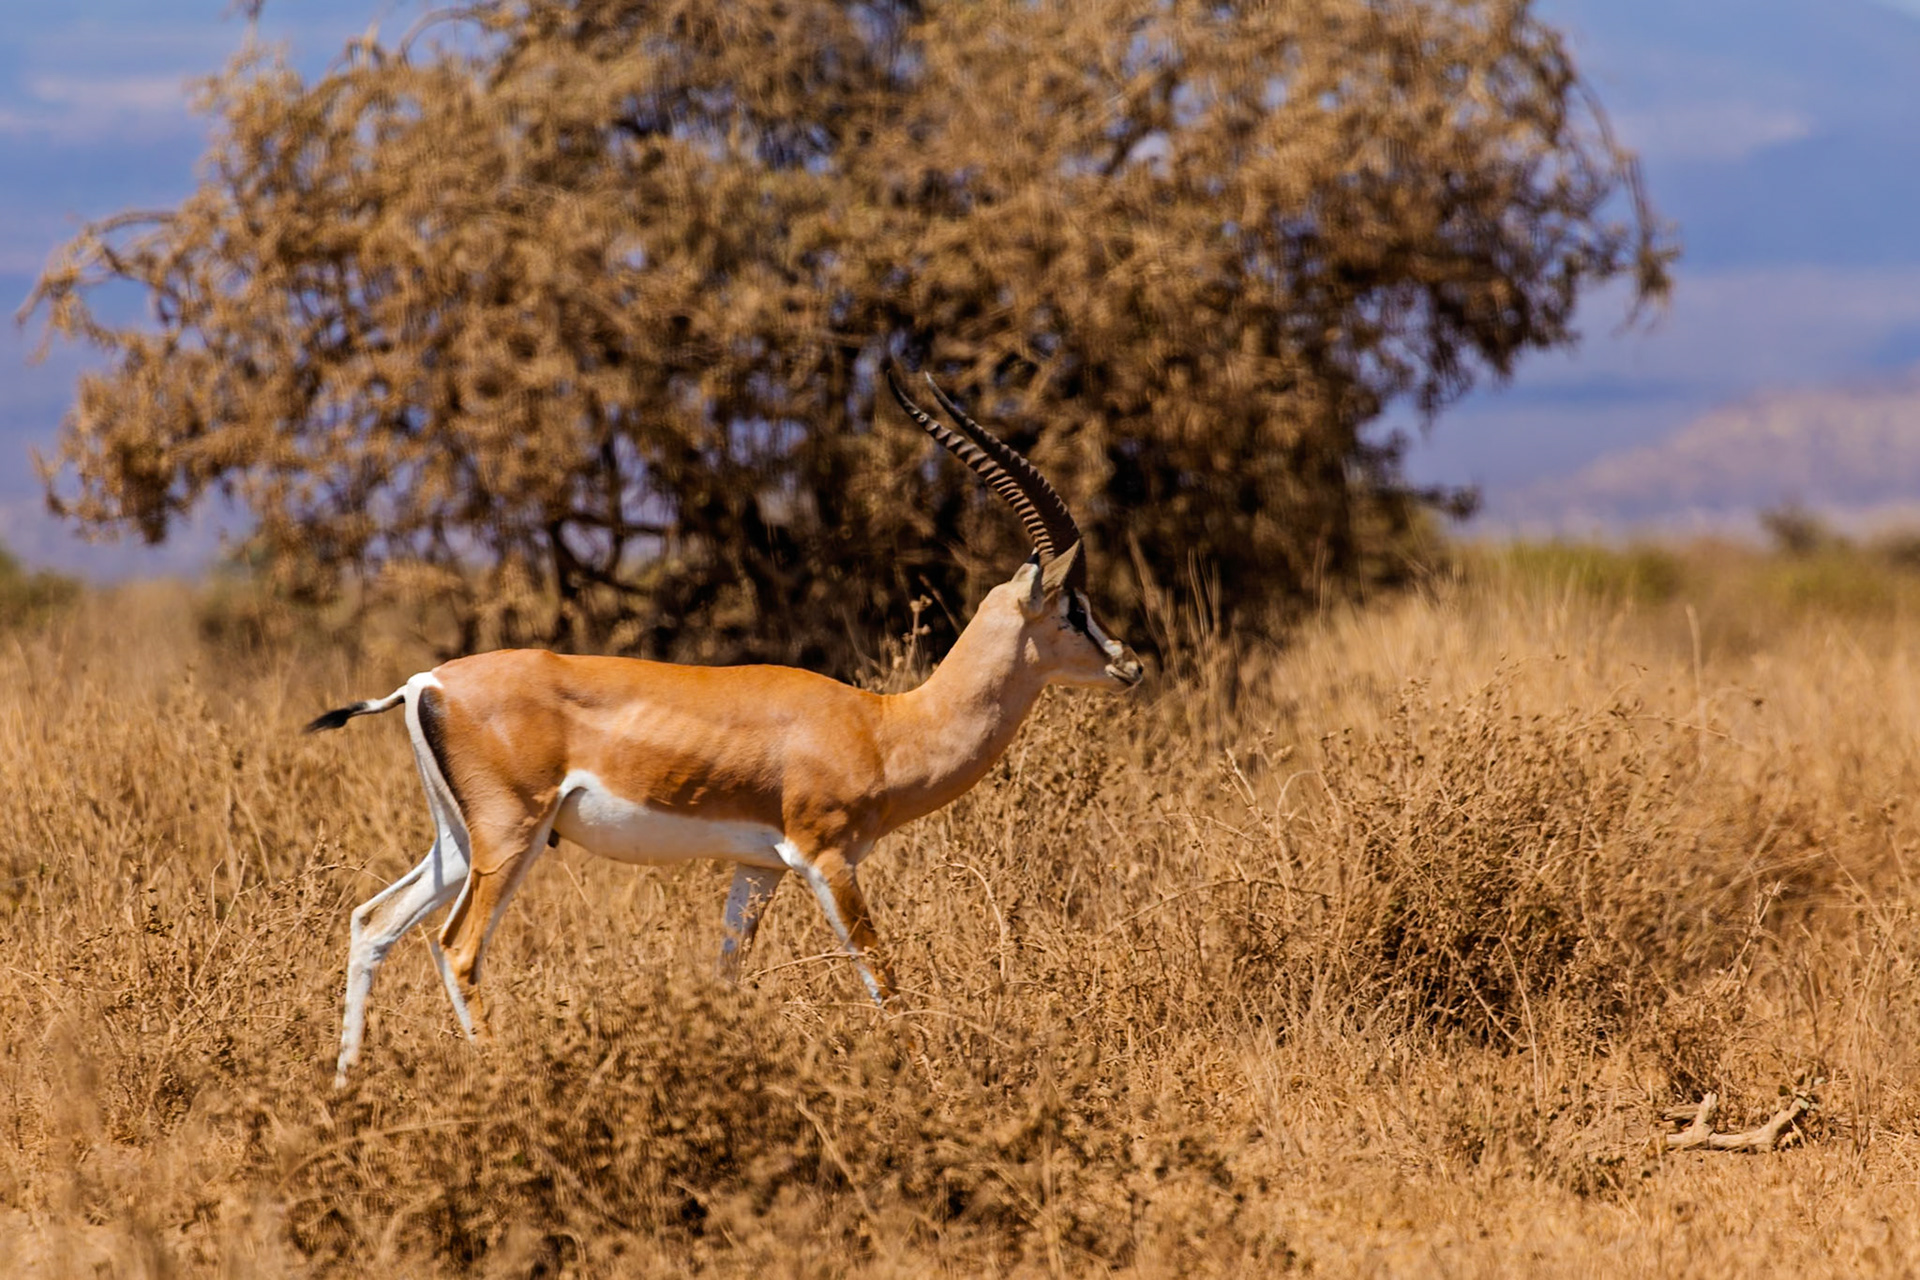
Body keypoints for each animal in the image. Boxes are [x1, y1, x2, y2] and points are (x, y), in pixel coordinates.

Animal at [311, 364, 1143, 1085]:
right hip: (511, 838)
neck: (883, 726)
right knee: (455, 948)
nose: (1130, 665)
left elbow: (727, 976)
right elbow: (883, 974)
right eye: (1074, 606)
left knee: (372, 922)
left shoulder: (759, 867)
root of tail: (426, 682)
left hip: (461, 843)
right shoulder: (825, 858)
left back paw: (345, 1086)